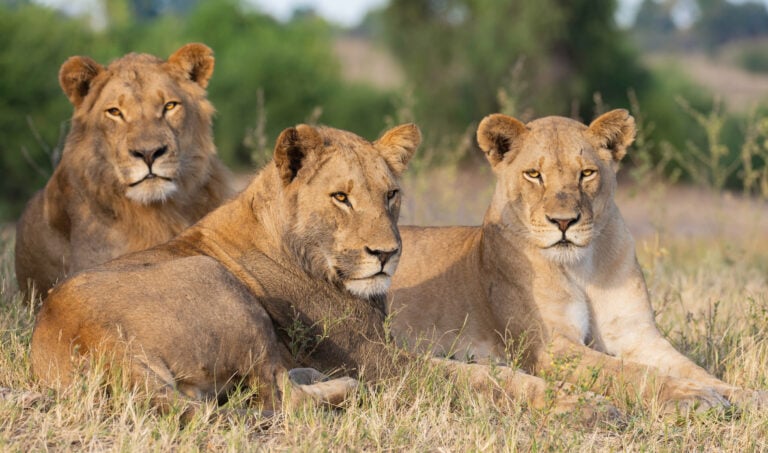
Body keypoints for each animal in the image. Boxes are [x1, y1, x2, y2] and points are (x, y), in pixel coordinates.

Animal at [390, 108, 768, 410]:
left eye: (586, 173)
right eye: (534, 174)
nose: (563, 222)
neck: (581, 267)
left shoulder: (635, 334)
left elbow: (691, 367)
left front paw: (743, 394)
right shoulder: (551, 346)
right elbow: (628, 372)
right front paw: (691, 396)